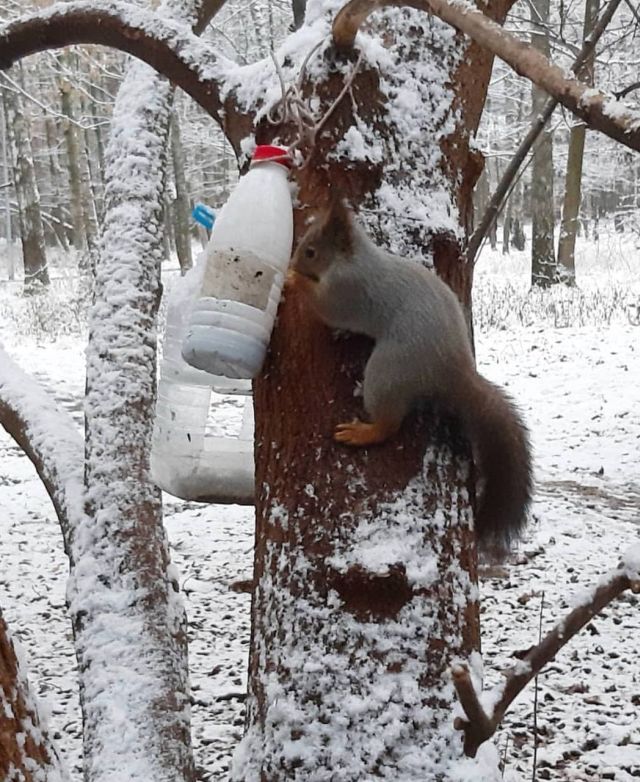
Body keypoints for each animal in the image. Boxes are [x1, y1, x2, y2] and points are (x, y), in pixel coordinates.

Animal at [288, 198, 528, 552]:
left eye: (311, 252)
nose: (294, 262)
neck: (355, 259)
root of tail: (453, 369)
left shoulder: (347, 290)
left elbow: (327, 308)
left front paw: (292, 279)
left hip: (388, 371)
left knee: (390, 424)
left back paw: (363, 432)